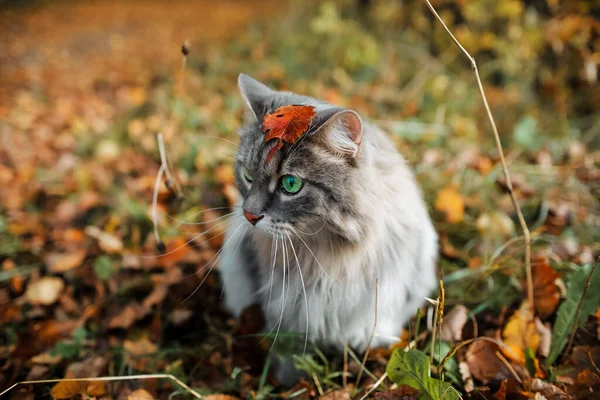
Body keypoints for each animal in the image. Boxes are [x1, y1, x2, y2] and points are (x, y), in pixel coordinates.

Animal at [218, 73, 438, 386]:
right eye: (248, 176)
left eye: (290, 184)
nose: (249, 215)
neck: (327, 257)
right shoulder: (287, 309)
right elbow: (290, 353)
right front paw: (289, 383)